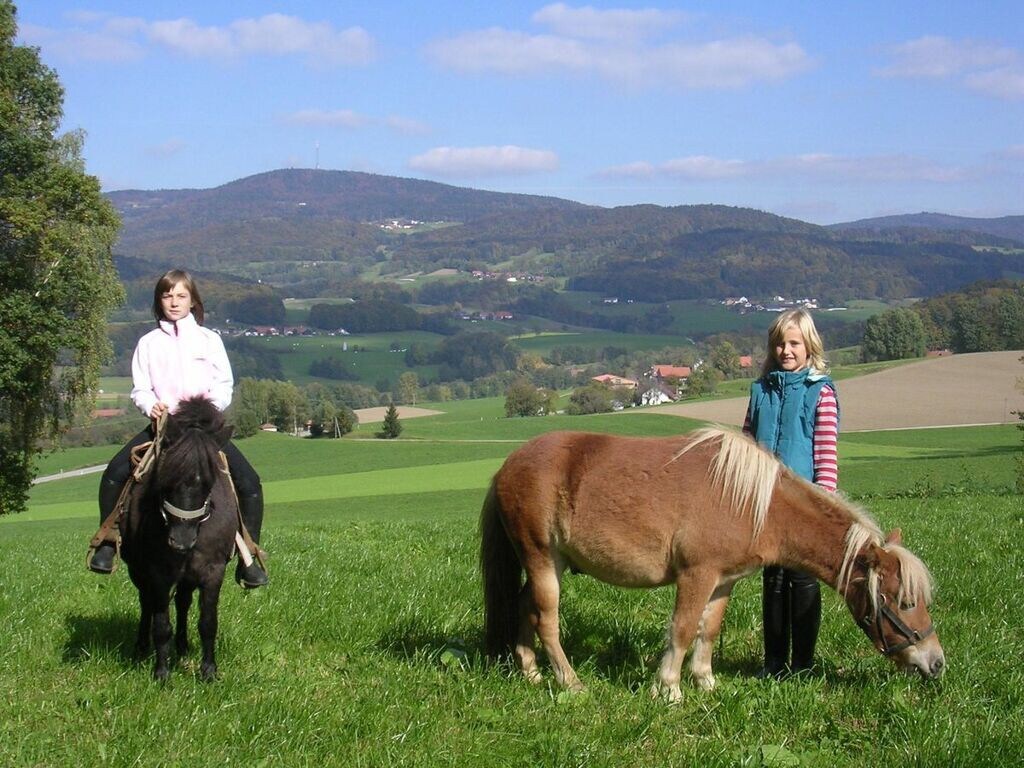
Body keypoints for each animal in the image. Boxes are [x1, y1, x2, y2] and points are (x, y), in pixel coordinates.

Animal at [119, 397, 237, 679]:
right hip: (139, 572)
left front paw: (209, 671)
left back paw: (182, 646)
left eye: (209, 482)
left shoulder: (213, 571)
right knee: (146, 603)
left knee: (183, 602)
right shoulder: (158, 572)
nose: (181, 541)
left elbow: (208, 622)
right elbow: (161, 624)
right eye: (166, 477)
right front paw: (162, 673)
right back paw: (142, 647)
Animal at [479, 428, 942, 704]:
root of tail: (508, 465)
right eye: (903, 602)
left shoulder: (723, 581)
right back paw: (570, 682)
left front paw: (705, 681)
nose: (936, 663)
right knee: (546, 620)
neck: (753, 503)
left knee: (524, 608)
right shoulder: (696, 575)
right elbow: (683, 629)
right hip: (542, 559)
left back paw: (530, 672)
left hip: (548, 564)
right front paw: (669, 689)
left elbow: (709, 629)